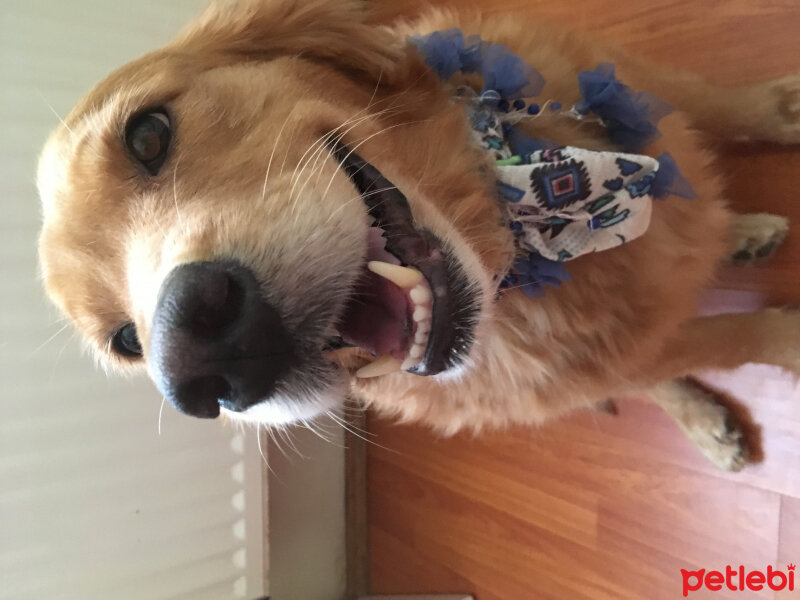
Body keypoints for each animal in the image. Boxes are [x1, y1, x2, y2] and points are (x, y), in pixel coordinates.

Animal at [36, 0, 800, 472]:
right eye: (127, 343)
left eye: (148, 133)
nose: (199, 361)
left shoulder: (627, 81)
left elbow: (714, 102)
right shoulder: (614, 357)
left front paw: (782, 109)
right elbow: (743, 335)